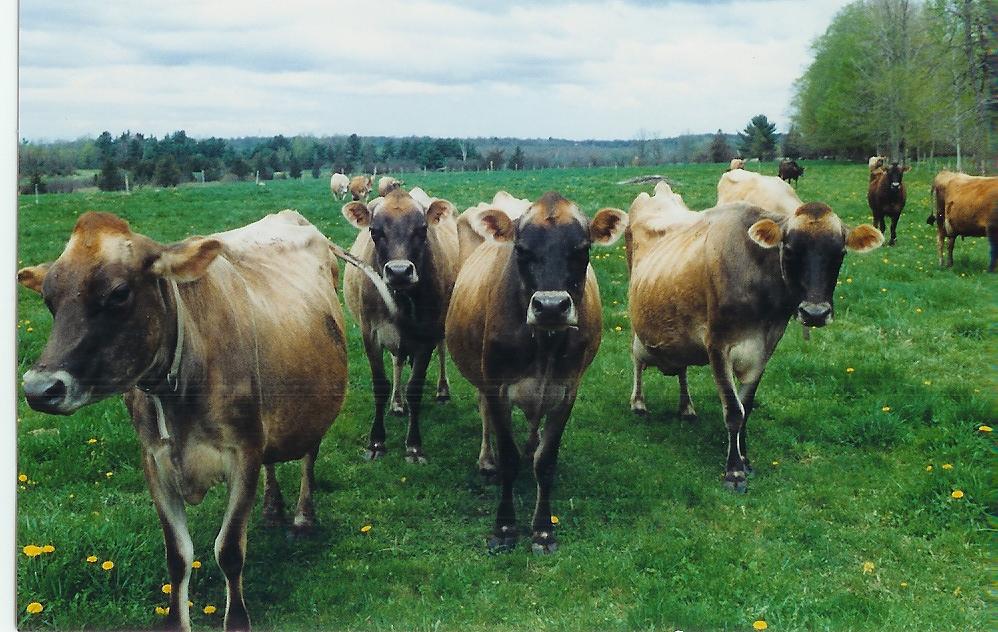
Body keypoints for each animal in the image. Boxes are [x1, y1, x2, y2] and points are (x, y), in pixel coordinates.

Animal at [15, 210, 352, 628]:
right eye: (49, 299)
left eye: (119, 293)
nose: (38, 389)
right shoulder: (154, 461)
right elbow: (177, 555)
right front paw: (177, 621)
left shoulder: (244, 452)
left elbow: (229, 550)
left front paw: (236, 621)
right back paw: (273, 509)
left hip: (314, 407)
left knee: (308, 456)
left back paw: (303, 519)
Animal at [340, 186, 458, 460]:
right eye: (374, 231)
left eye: (422, 229)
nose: (399, 271)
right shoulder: (370, 332)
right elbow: (380, 384)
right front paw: (376, 441)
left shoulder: (426, 335)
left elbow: (415, 387)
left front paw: (414, 445)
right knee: (398, 360)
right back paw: (397, 402)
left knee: (441, 350)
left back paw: (441, 391)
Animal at [450, 190, 628, 552]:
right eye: (521, 249)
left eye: (582, 249)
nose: (550, 307)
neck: (544, 345)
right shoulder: (497, 386)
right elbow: (508, 457)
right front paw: (504, 528)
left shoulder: (567, 390)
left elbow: (546, 462)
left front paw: (543, 529)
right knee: (484, 413)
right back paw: (486, 461)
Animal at [632, 200, 884, 492]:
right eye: (789, 250)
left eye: (839, 253)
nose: (815, 313)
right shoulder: (717, 344)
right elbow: (733, 411)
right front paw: (734, 472)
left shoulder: (766, 346)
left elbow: (746, 407)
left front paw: (745, 459)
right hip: (639, 327)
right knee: (637, 359)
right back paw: (638, 403)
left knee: (681, 368)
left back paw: (686, 408)